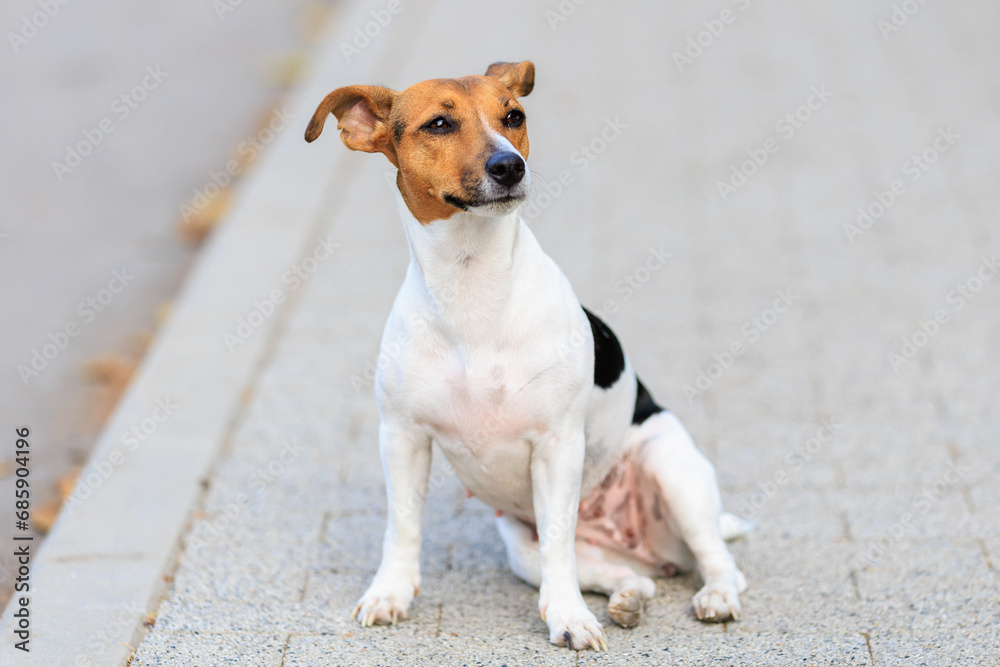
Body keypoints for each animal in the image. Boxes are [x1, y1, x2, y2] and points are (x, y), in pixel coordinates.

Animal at [304, 60, 752, 648]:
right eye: (439, 124)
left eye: (513, 116)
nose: (509, 166)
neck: (471, 282)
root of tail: (641, 545)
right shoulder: (402, 438)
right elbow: (402, 527)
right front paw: (390, 592)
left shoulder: (557, 446)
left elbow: (560, 545)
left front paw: (569, 619)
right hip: (521, 546)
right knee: (617, 575)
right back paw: (628, 596)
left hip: (673, 469)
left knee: (717, 560)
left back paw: (715, 595)